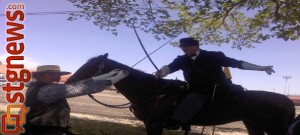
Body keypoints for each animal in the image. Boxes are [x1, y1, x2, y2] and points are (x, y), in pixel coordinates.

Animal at [68, 54, 296, 135]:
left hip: (275, 130)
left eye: (89, 67)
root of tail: (286, 101)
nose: (69, 81)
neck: (152, 92)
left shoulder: (154, 124)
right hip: (254, 126)